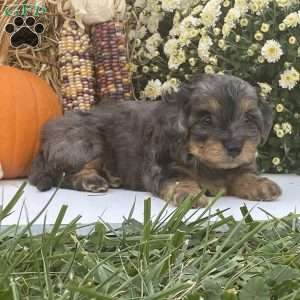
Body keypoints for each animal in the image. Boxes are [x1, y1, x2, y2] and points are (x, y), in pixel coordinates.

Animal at [28, 74, 282, 207]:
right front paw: (190, 195)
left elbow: (243, 173)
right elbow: (179, 180)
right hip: (86, 141)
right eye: (206, 119)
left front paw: (260, 184)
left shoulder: (239, 164)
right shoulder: (163, 167)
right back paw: (92, 180)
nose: (235, 148)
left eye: (248, 118)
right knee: (65, 174)